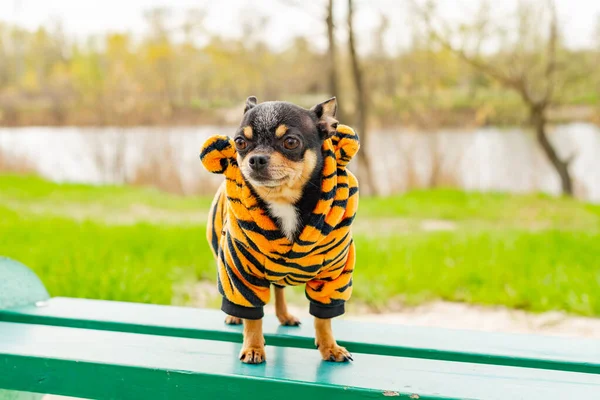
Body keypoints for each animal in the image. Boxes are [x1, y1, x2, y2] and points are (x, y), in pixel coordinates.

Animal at [202, 96, 360, 362]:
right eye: (240, 142)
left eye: (290, 142)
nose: (256, 158)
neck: (283, 201)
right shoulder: (241, 272)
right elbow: (252, 317)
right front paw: (253, 348)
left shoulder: (332, 276)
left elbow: (323, 318)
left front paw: (330, 347)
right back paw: (234, 315)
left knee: (279, 290)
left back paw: (285, 316)